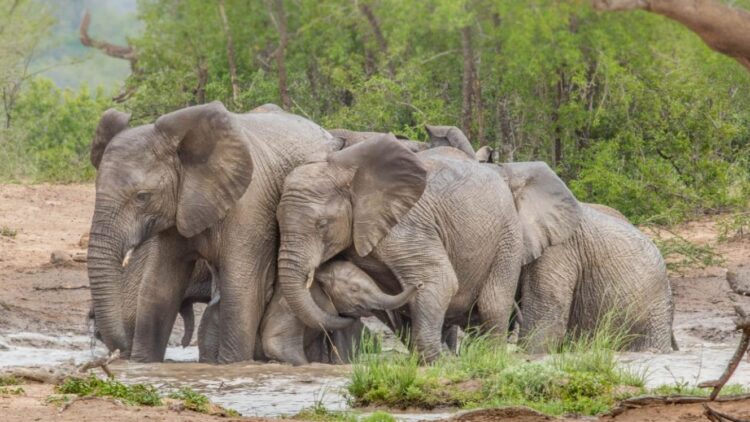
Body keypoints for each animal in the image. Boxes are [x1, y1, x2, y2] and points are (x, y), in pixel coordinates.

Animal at [87, 101, 346, 363]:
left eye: (142, 197)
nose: (118, 350)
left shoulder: (250, 205)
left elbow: (242, 289)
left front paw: (232, 365)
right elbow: (158, 286)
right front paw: (143, 363)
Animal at [275, 134, 582, 361]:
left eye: (322, 224)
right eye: (276, 221)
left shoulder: (406, 227)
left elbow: (440, 280)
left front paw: (434, 362)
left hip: (508, 236)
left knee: (493, 302)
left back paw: (490, 358)